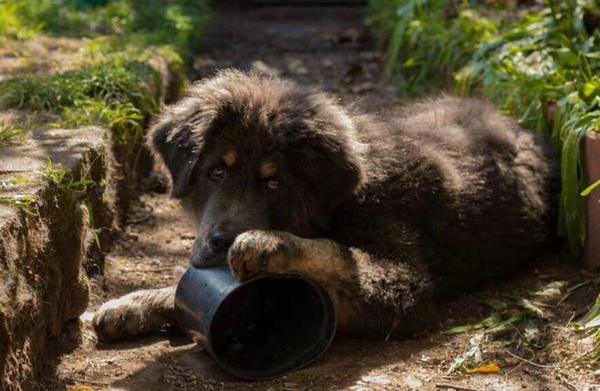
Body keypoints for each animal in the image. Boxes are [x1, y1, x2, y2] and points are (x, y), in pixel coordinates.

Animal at [91, 71, 560, 344]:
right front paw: (135, 304)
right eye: (216, 172)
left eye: (274, 181)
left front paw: (269, 244)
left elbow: (336, 255)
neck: (342, 202)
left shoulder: (403, 286)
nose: (220, 241)